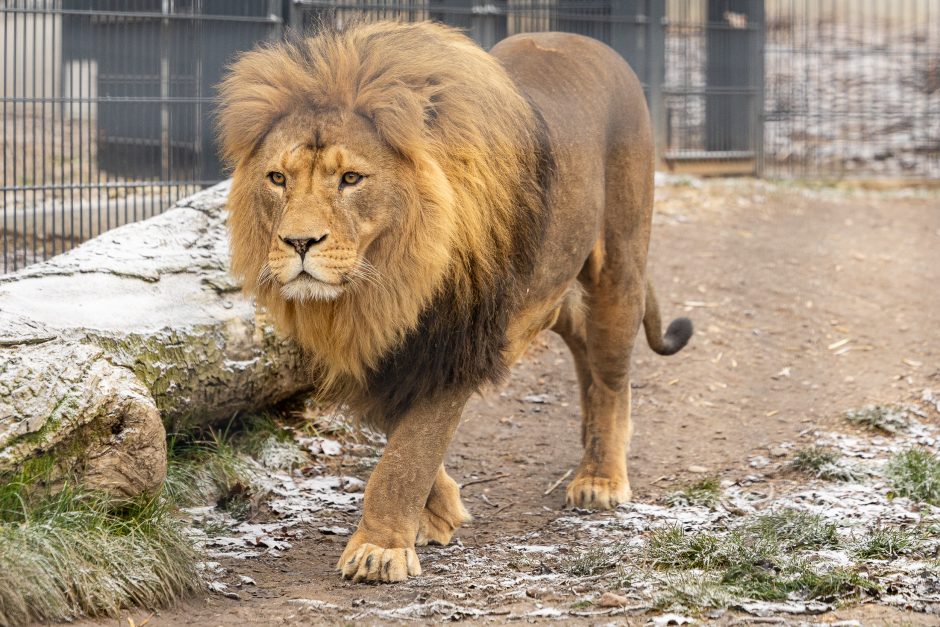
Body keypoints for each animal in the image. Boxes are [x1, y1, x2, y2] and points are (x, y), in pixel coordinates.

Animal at [218, 22, 692, 588]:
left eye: (351, 179)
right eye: (277, 179)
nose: (298, 242)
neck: (384, 286)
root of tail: (589, 41)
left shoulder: (456, 346)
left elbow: (407, 455)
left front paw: (380, 549)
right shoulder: (382, 350)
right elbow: (400, 436)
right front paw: (437, 514)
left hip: (618, 267)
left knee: (612, 377)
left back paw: (600, 478)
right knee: (581, 345)